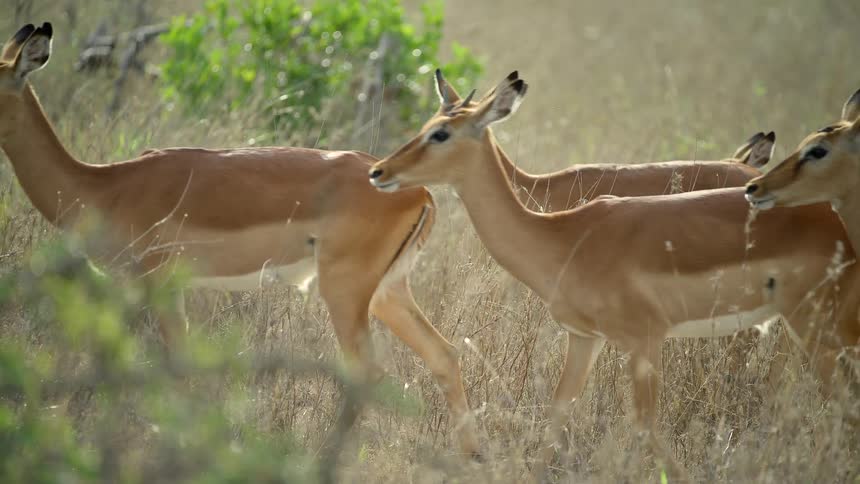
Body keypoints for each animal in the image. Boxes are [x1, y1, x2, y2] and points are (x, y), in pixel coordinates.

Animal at [0, 22, 486, 456]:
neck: (105, 186)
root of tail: (417, 190)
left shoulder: (152, 282)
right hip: (388, 291)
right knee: (443, 354)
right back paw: (470, 457)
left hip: (344, 291)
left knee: (366, 370)